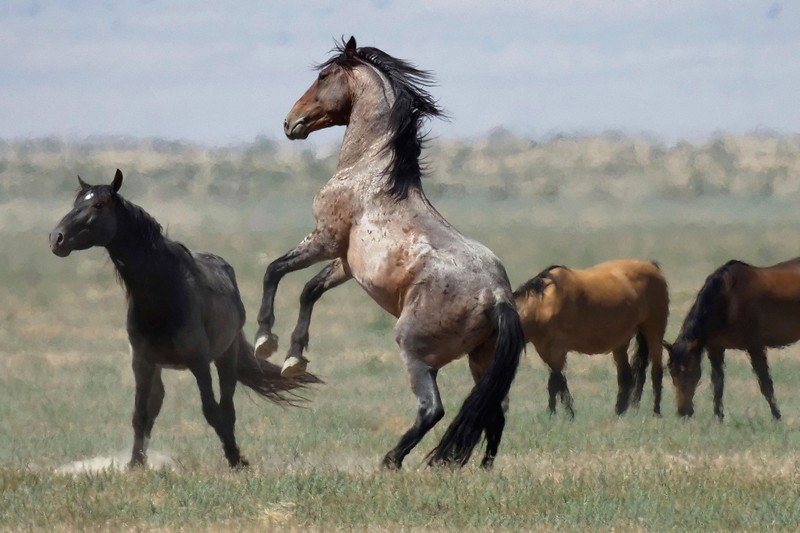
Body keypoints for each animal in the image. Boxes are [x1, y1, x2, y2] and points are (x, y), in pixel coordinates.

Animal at [48, 170, 318, 470]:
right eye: (76, 202)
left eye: (98, 205)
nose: (56, 238)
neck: (164, 292)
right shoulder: (141, 362)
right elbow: (140, 414)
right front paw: (134, 464)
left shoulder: (199, 363)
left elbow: (212, 411)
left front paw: (236, 458)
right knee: (156, 406)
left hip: (226, 356)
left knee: (227, 407)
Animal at [252, 37, 524, 468]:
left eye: (324, 76)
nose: (289, 122)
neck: (370, 172)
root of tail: (498, 297)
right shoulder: (345, 264)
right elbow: (309, 291)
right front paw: (295, 358)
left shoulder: (324, 240)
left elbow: (274, 271)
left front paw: (265, 339)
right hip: (481, 362)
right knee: (492, 412)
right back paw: (478, 469)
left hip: (415, 351)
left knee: (434, 410)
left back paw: (392, 460)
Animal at [512, 258, 668, 416]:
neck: (542, 307)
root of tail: (651, 265)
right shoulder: (545, 351)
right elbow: (558, 382)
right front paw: (561, 413)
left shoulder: (558, 350)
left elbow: (555, 383)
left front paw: (560, 414)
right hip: (621, 343)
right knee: (626, 376)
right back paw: (619, 412)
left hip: (654, 333)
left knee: (656, 371)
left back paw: (656, 412)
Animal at [664, 258, 800, 420]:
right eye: (671, 371)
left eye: (690, 370)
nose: (683, 412)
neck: (727, 299)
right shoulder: (715, 349)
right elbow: (717, 384)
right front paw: (718, 417)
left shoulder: (755, 347)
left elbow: (766, 384)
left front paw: (777, 417)